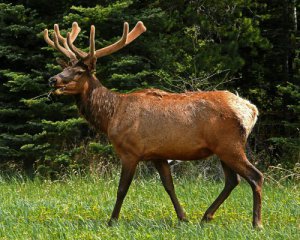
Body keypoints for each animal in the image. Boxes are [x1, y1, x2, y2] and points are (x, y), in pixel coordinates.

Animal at [43, 21, 264, 229]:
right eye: (64, 68)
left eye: (79, 71)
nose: (52, 79)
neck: (111, 116)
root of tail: (251, 110)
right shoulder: (158, 154)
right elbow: (169, 186)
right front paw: (183, 218)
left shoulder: (130, 152)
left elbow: (122, 189)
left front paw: (112, 221)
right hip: (222, 149)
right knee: (232, 180)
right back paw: (206, 217)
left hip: (230, 145)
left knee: (255, 176)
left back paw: (256, 223)